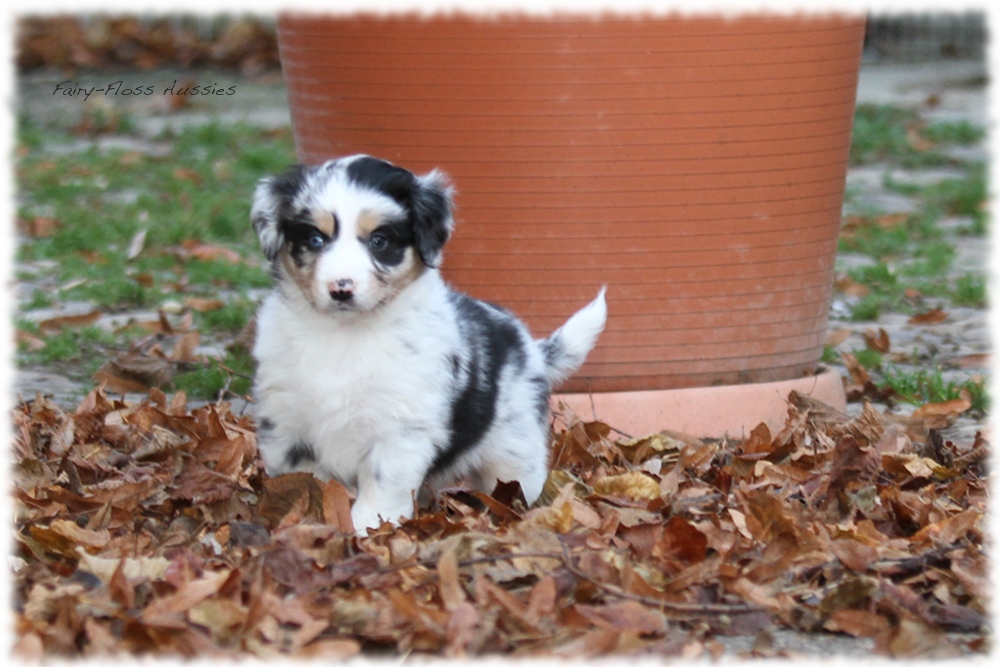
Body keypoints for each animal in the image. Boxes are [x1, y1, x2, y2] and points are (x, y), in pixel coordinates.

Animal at [254, 155, 604, 532]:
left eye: (379, 241)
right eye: (316, 239)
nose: (341, 288)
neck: (344, 335)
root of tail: (532, 349)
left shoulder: (401, 428)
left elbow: (382, 483)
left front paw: (366, 528)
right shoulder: (285, 422)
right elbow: (304, 478)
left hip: (515, 448)